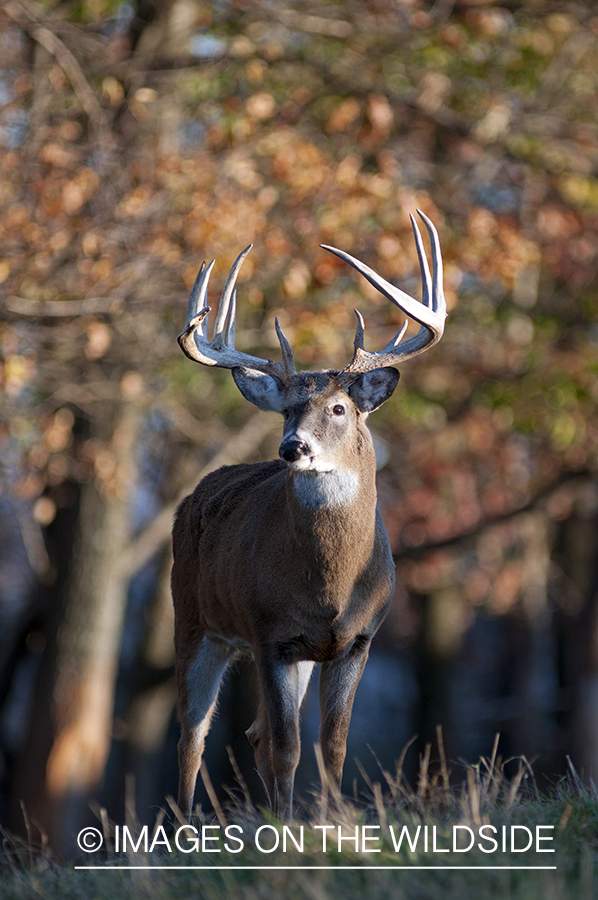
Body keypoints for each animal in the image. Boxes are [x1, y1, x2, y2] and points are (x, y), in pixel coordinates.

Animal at [171, 207, 448, 820]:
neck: (331, 589)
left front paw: (330, 821)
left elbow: (333, 744)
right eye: (287, 410)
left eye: (340, 408)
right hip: (194, 619)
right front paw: (290, 828)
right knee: (194, 734)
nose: (291, 448)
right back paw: (181, 831)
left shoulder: (359, 639)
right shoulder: (270, 633)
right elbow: (288, 746)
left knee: (250, 734)